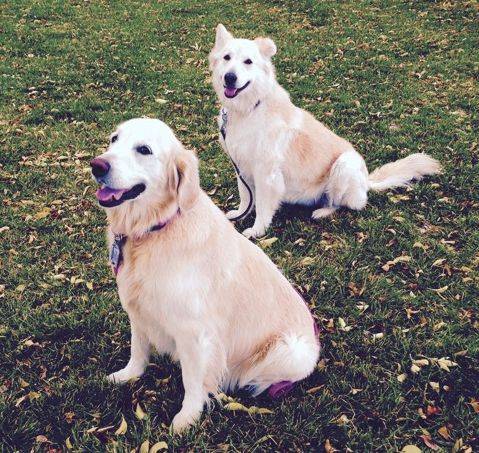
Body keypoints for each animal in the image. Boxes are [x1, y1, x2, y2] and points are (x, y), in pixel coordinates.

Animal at [90, 118, 320, 433]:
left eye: (144, 149)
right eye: (114, 139)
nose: (97, 165)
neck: (154, 229)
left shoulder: (194, 333)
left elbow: (192, 381)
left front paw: (186, 418)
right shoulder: (138, 310)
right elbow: (138, 349)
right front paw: (128, 375)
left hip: (290, 350)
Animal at [209, 24, 442, 238]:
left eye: (248, 62)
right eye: (227, 58)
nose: (230, 77)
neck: (248, 109)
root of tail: (367, 182)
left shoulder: (267, 174)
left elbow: (264, 208)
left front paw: (257, 231)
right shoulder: (242, 168)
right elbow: (246, 197)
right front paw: (241, 214)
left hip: (344, 164)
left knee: (343, 204)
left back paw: (322, 212)